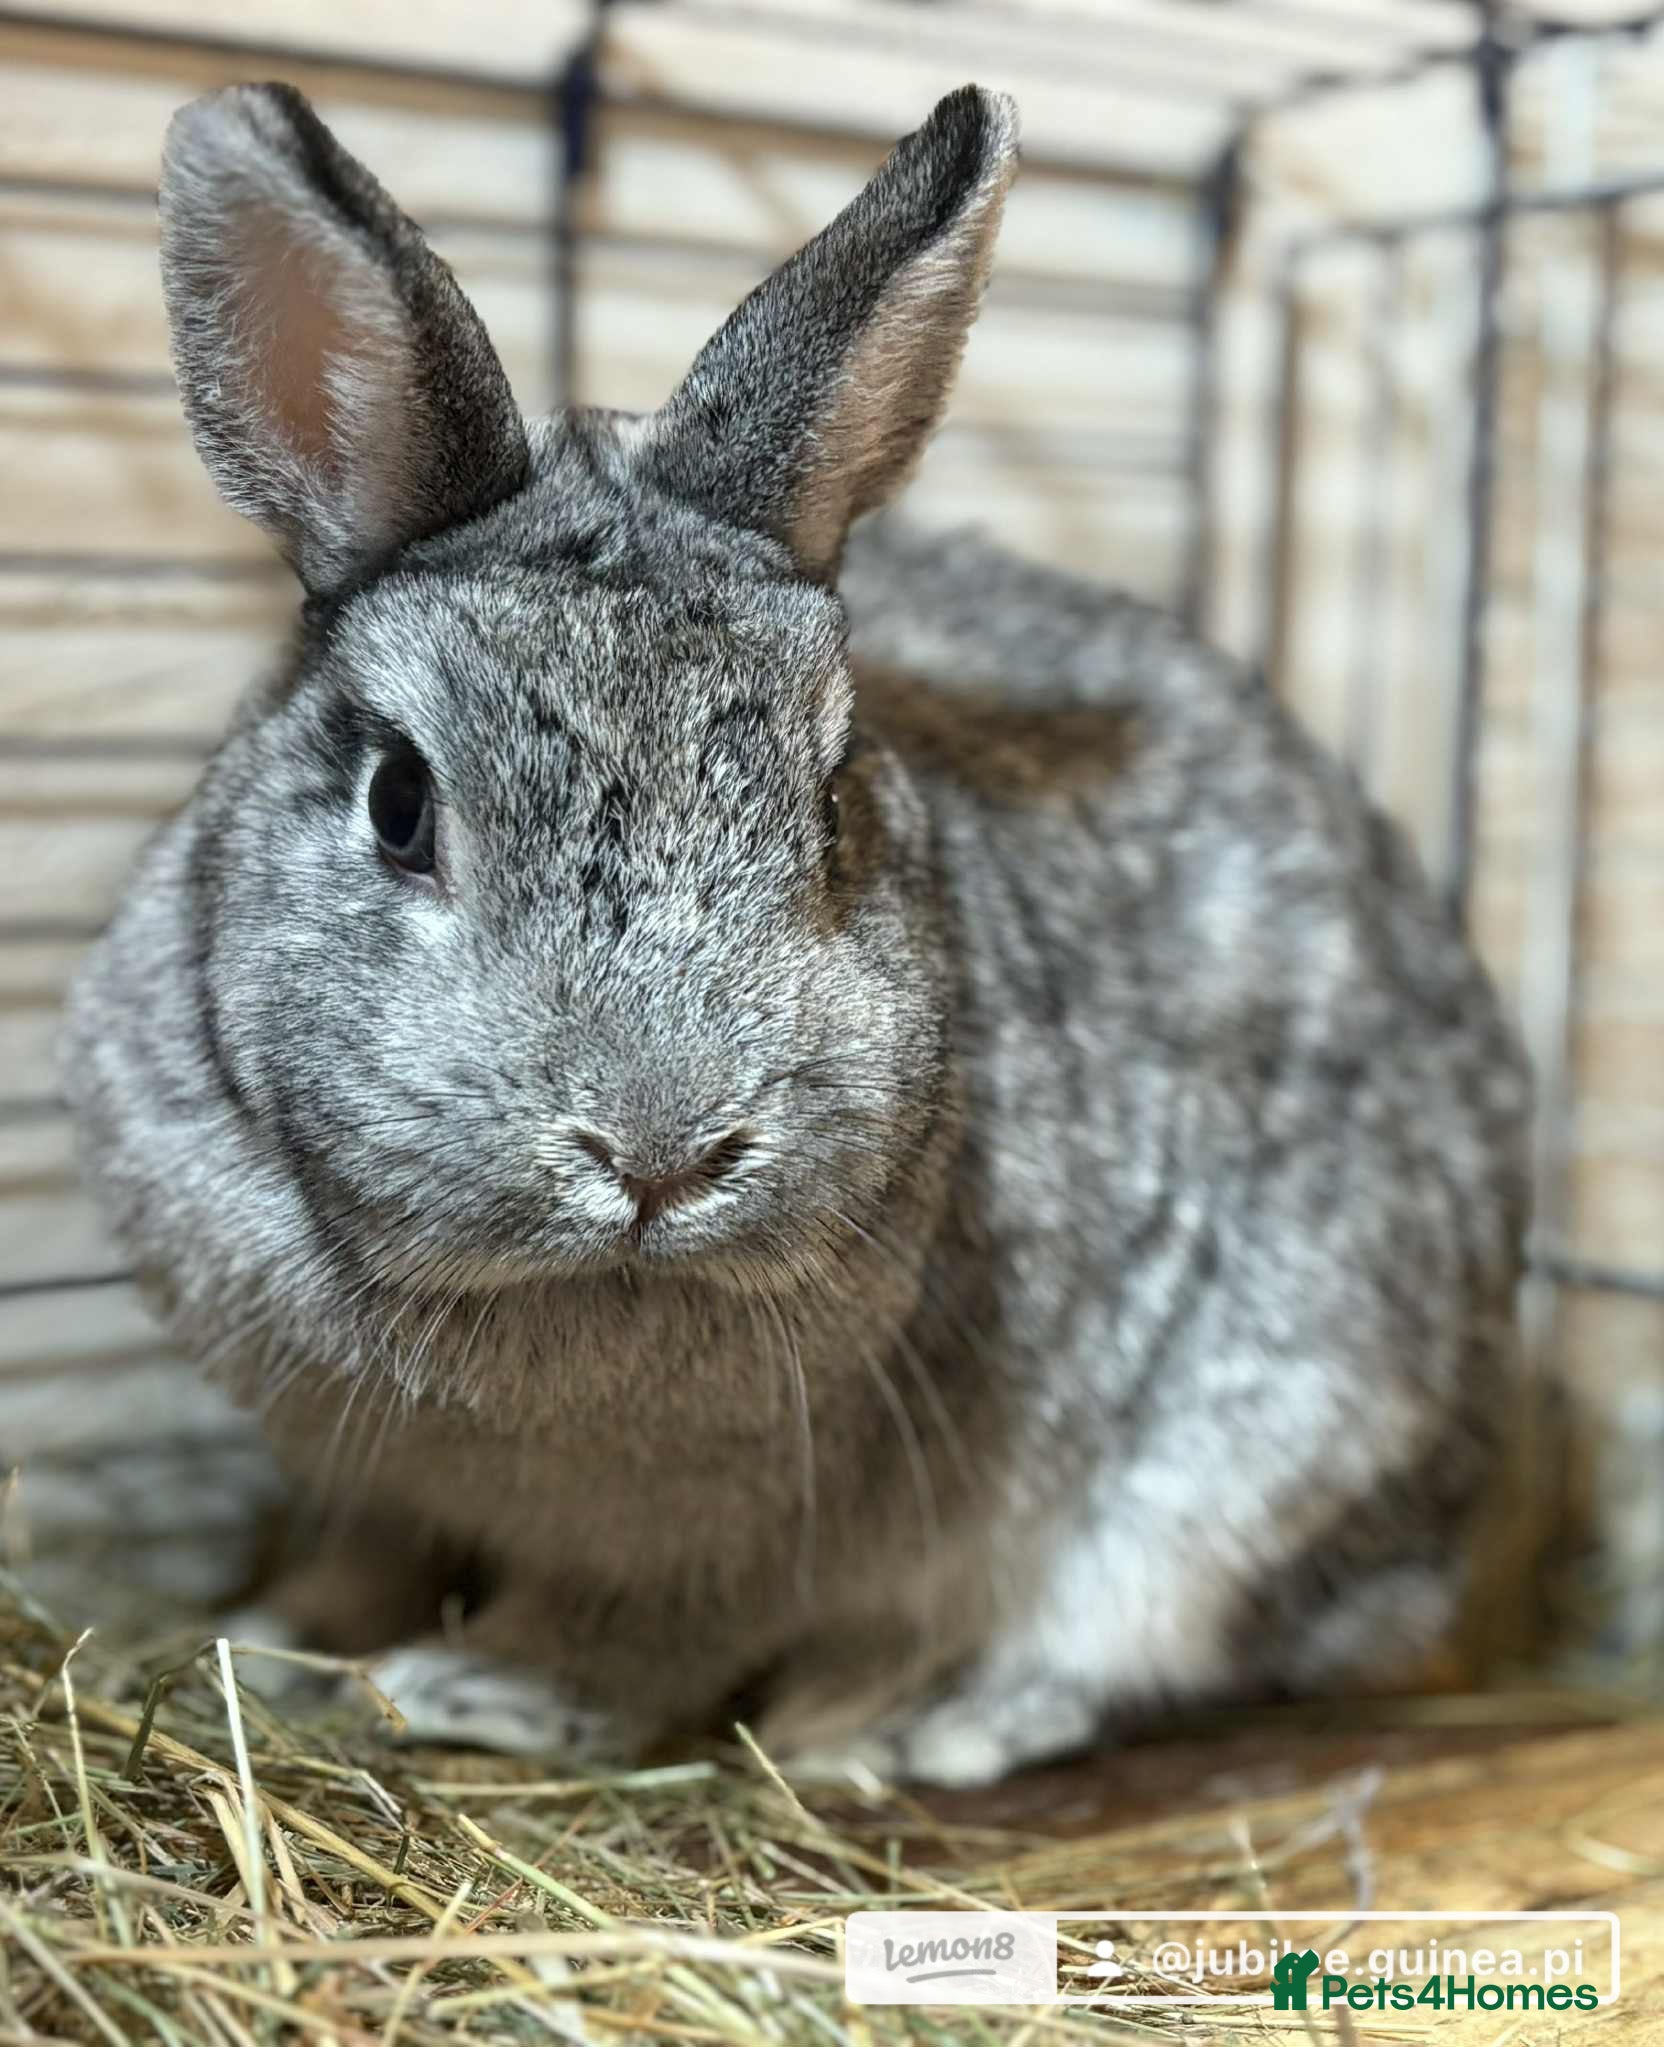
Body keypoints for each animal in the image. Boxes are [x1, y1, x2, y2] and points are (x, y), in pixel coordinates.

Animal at [63, 78, 1531, 1788]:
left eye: (832, 802)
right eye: (400, 800)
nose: (659, 1152)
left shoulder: (752, 1531)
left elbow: (641, 1631)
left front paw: (479, 1690)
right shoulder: (364, 1476)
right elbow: (356, 1555)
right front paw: (271, 1641)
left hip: (1268, 1445)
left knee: (1136, 1639)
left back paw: (902, 1718)